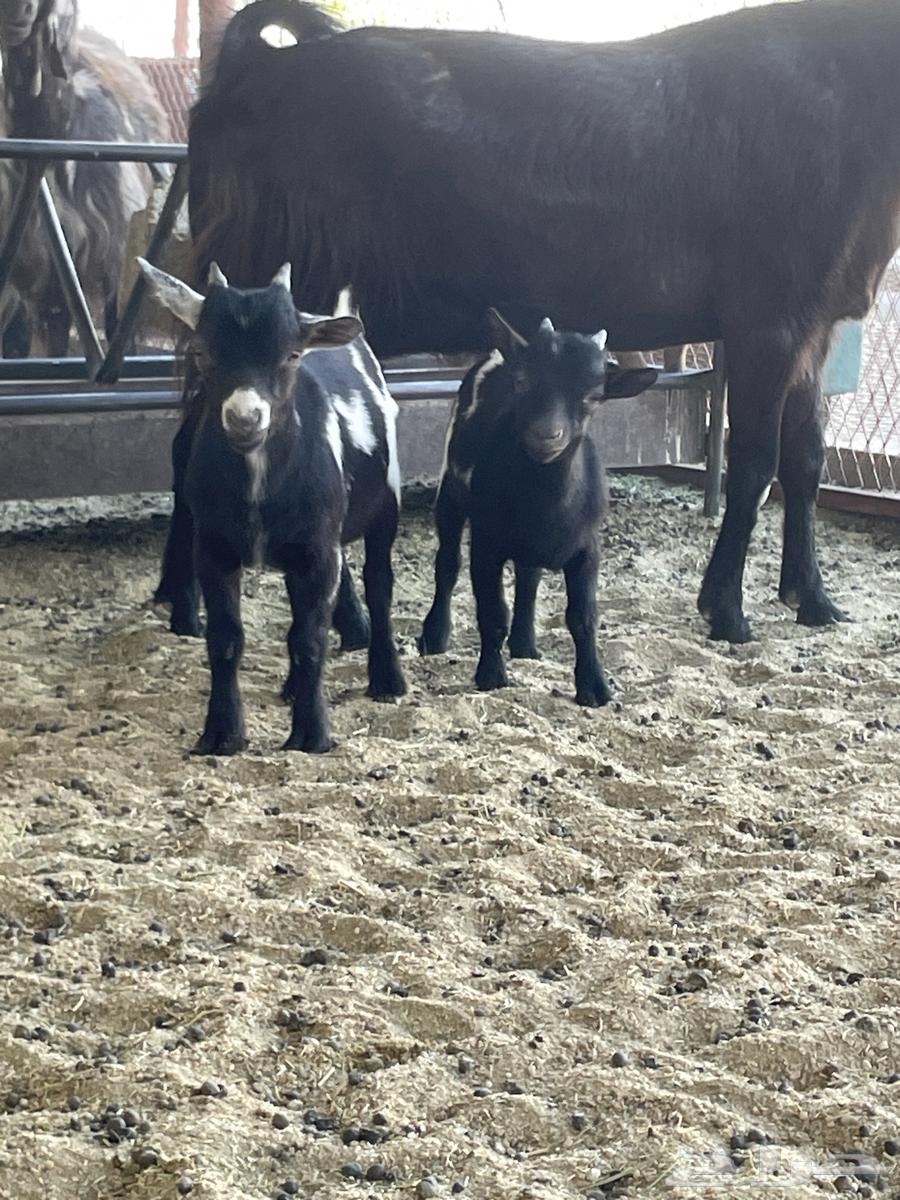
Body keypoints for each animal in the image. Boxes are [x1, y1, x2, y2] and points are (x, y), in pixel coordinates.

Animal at [138, 258, 406, 755]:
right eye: (202, 352)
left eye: (291, 355)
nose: (245, 418)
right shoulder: (215, 548)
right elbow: (227, 639)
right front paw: (222, 733)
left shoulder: (318, 552)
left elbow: (310, 639)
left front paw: (312, 734)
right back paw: (294, 687)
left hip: (386, 506)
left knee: (380, 583)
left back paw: (387, 678)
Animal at [179, 0, 900, 647]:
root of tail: (253, 70)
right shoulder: (767, 318)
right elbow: (756, 465)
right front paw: (725, 610)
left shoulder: (815, 325)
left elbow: (805, 458)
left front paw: (813, 600)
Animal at [420, 311, 657, 705]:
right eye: (522, 381)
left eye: (593, 397)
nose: (547, 435)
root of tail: (500, 352)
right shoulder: (487, 544)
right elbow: (492, 611)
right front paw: (491, 675)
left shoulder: (588, 548)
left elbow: (583, 617)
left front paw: (596, 687)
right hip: (450, 490)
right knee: (448, 563)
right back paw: (435, 634)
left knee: (529, 577)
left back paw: (525, 644)